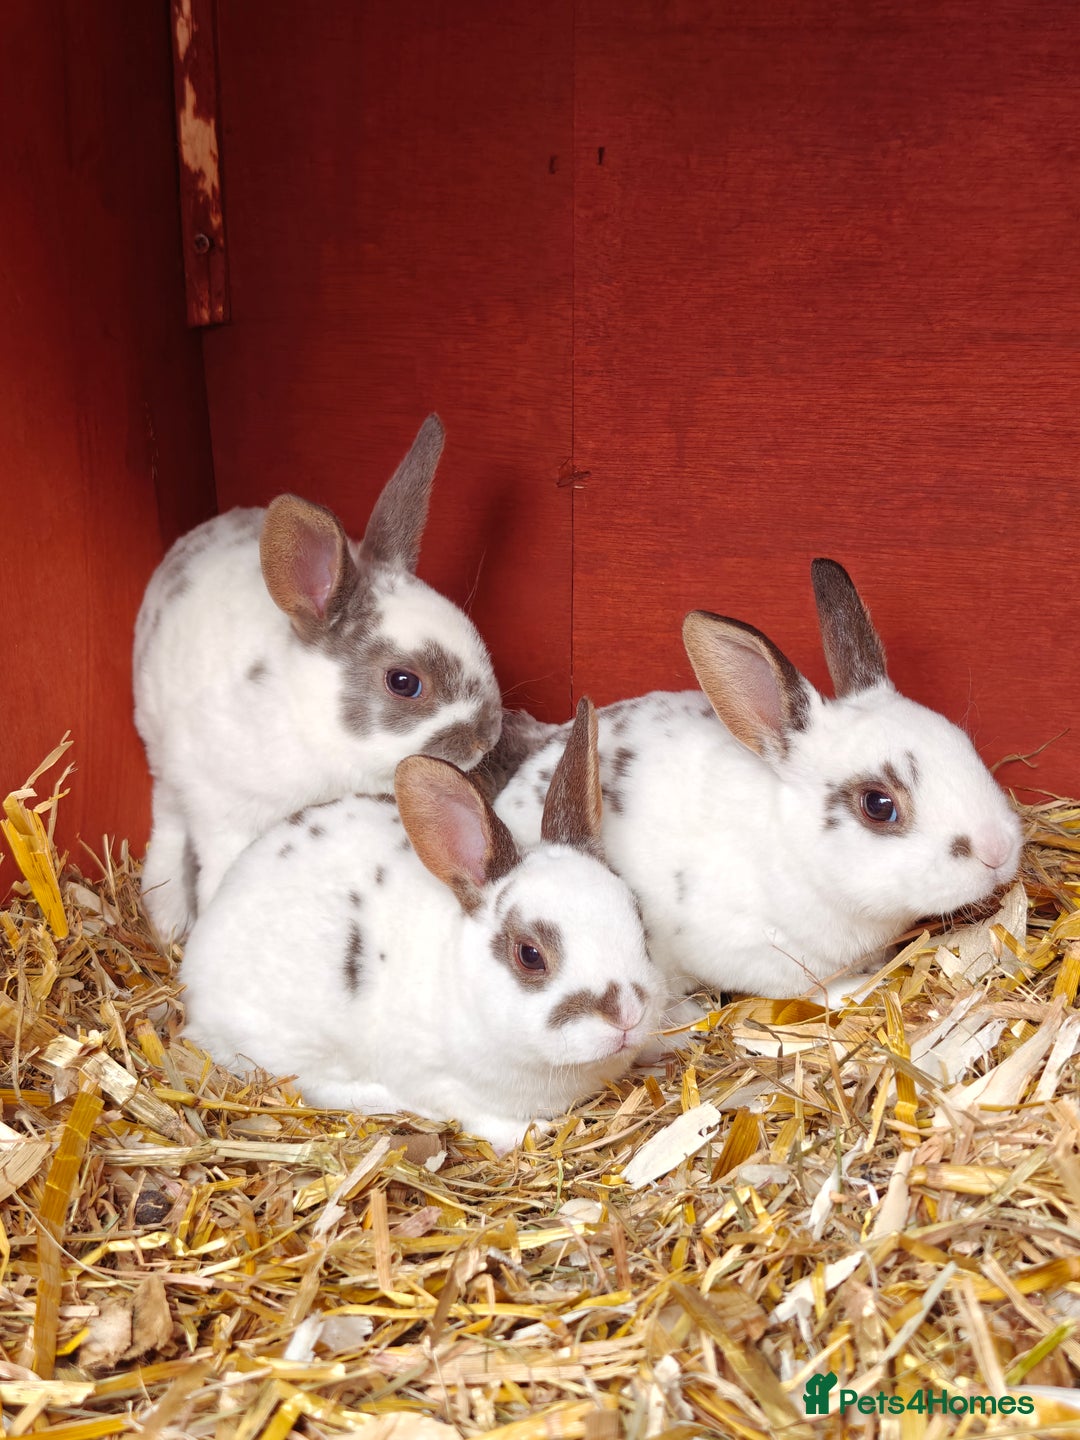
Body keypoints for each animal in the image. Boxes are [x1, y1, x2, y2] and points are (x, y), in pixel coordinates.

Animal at [134, 415, 502, 939]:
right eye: (404, 682)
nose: (486, 737)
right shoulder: (224, 813)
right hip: (159, 741)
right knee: (166, 817)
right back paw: (168, 918)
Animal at [179, 699, 663, 1154]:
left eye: (637, 916)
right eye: (530, 955)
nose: (627, 1015)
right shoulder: (440, 1082)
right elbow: (480, 1118)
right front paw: (532, 1132)